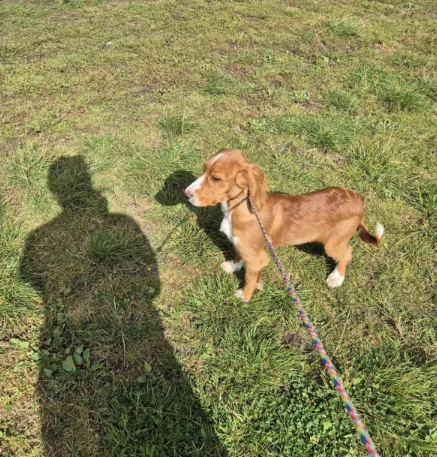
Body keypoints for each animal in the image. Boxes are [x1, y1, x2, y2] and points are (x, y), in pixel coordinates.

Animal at [184, 148, 382, 302]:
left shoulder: (257, 259)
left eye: (216, 178)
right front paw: (233, 266)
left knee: (347, 253)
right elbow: (237, 254)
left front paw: (244, 296)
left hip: (334, 243)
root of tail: (359, 199)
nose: (186, 193)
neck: (238, 209)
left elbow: (249, 278)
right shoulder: (241, 245)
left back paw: (336, 278)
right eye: (203, 169)